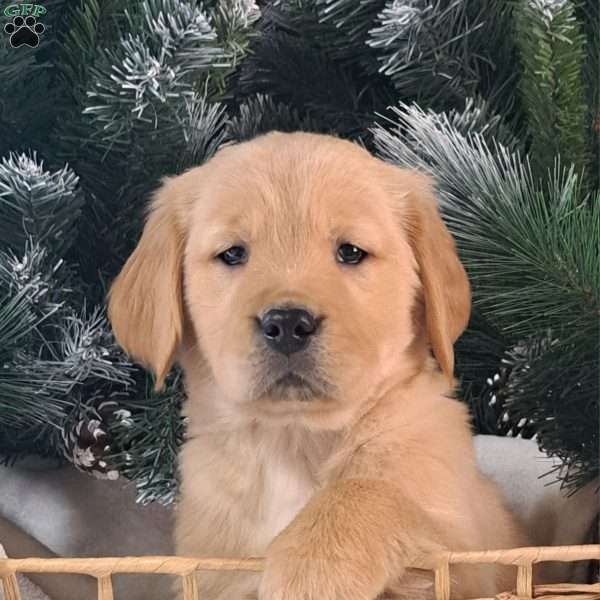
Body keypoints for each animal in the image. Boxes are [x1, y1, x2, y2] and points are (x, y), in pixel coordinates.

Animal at [108, 132, 524, 600]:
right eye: (232, 254)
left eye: (351, 252)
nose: (288, 324)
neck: (294, 440)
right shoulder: (213, 570)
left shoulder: (467, 556)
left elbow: (370, 489)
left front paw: (311, 568)